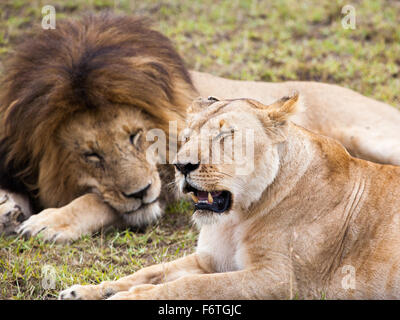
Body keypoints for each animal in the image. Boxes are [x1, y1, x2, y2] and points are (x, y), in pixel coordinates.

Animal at [0, 13, 400, 242]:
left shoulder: (170, 180)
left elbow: (99, 201)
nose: (140, 192)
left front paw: (51, 221)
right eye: (91, 155)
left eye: (135, 136)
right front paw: (9, 208)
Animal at [58, 95, 400, 300]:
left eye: (225, 136)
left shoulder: (281, 281)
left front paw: (127, 297)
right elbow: (151, 271)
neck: (236, 218)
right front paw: (88, 291)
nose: (181, 165)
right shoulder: (211, 259)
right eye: (186, 136)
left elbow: (192, 287)